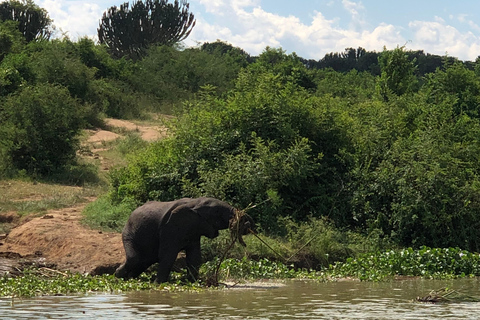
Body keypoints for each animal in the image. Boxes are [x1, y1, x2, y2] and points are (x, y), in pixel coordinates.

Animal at [114, 198, 253, 282]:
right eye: (217, 211)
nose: (244, 220)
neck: (195, 202)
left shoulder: (194, 229)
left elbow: (195, 257)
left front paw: (193, 282)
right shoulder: (170, 228)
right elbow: (168, 255)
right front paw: (158, 284)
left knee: (143, 261)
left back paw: (128, 279)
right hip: (128, 233)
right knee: (135, 258)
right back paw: (118, 277)